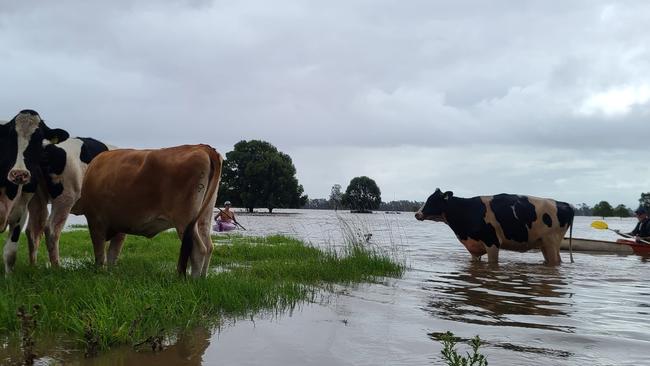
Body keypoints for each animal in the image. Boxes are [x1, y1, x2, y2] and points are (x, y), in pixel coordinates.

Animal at [0, 110, 111, 274]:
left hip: (37, 199)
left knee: (33, 230)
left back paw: (33, 266)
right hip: (65, 197)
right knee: (51, 229)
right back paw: (56, 267)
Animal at [75, 145, 223, 278]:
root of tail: (202, 147)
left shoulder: (95, 220)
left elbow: (100, 252)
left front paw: (99, 272)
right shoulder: (120, 224)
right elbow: (113, 253)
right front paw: (110, 273)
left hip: (184, 219)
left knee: (199, 249)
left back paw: (193, 281)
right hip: (205, 215)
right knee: (209, 246)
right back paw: (202, 279)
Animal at [416, 189, 572, 266]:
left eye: (432, 200)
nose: (417, 214)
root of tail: (564, 204)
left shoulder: (492, 242)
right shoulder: (473, 247)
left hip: (551, 243)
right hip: (544, 244)